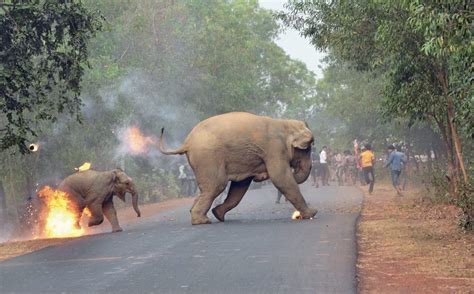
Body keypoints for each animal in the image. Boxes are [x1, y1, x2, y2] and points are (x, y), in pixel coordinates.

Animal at [159, 111, 318, 224]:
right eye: (307, 149)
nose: (261, 177)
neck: (285, 124)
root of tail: (187, 143)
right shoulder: (275, 149)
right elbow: (281, 178)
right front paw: (312, 213)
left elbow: (240, 186)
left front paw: (218, 213)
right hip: (208, 157)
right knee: (217, 185)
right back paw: (202, 221)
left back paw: (204, 215)